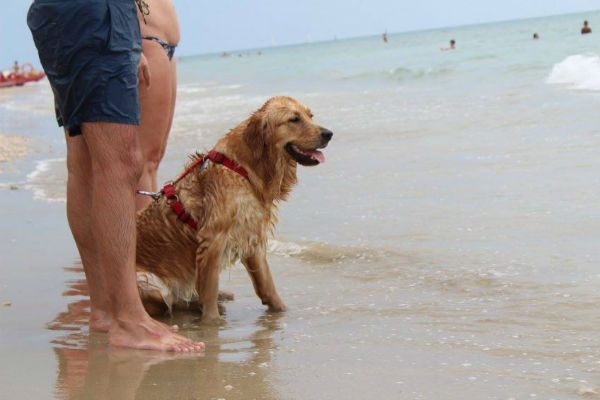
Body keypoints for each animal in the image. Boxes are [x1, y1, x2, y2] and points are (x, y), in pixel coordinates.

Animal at [136, 97, 332, 324]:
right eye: (294, 119)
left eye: (311, 116)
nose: (329, 133)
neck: (242, 168)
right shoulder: (213, 240)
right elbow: (209, 293)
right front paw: (211, 324)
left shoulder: (252, 235)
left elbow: (267, 285)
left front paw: (281, 310)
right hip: (150, 282)